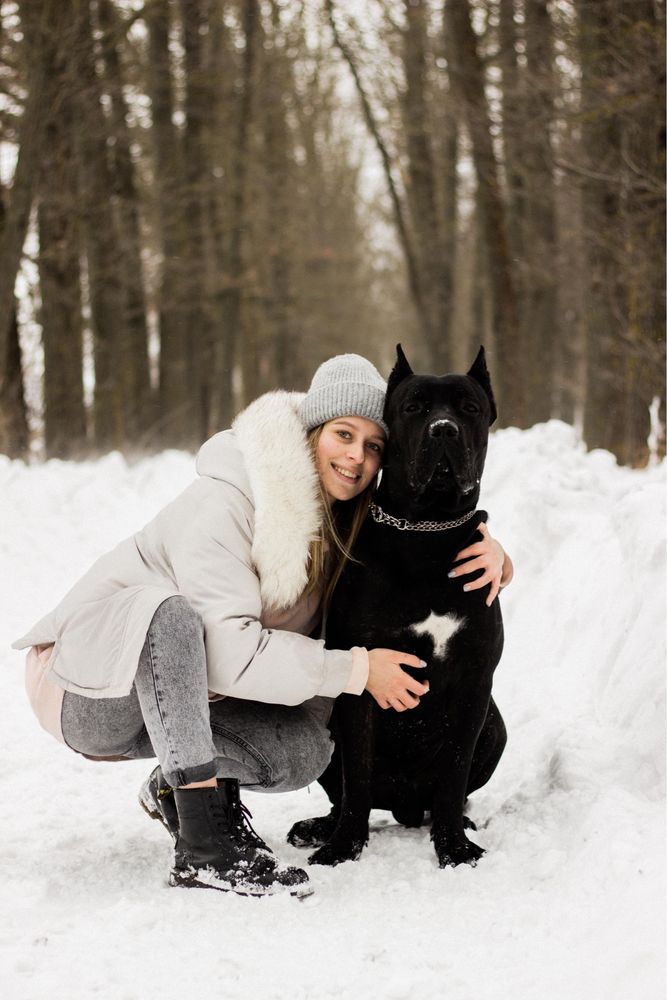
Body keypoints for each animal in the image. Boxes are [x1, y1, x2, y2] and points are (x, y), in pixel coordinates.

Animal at [288, 344, 506, 868]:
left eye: (468, 408)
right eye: (414, 408)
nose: (443, 429)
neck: (427, 535)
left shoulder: (475, 682)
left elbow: (453, 775)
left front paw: (454, 847)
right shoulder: (362, 682)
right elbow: (357, 776)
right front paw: (343, 847)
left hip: (496, 725)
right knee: (346, 792)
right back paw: (319, 828)